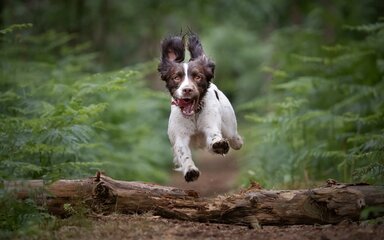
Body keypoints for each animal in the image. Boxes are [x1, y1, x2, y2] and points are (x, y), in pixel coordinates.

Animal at [157, 32, 242, 181]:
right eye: (176, 77)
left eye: (198, 77)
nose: (187, 90)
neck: (194, 114)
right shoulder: (180, 136)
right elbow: (183, 153)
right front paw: (190, 170)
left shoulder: (211, 125)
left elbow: (214, 136)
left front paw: (220, 145)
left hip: (229, 126)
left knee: (233, 137)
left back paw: (237, 142)